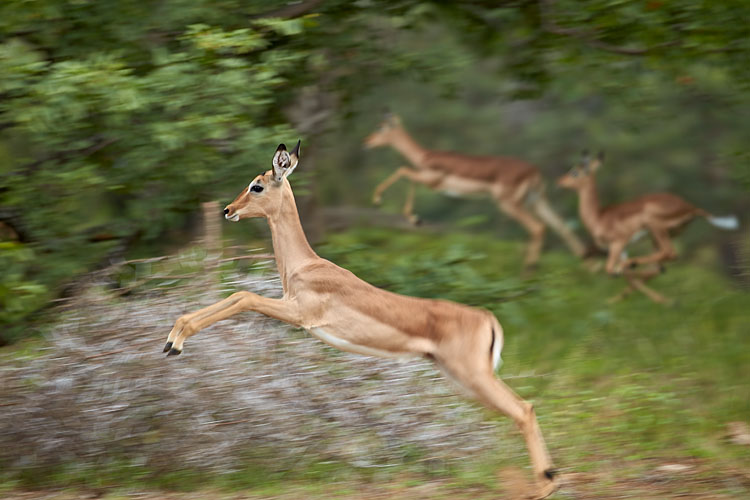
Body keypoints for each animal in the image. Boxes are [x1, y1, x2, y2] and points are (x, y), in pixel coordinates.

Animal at [163, 141, 559, 499]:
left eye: (257, 185)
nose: (228, 209)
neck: (305, 266)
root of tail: (488, 319)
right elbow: (237, 296)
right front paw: (170, 340)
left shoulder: (298, 314)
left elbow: (242, 296)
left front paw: (176, 342)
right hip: (461, 379)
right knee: (524, 408)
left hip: (473, 376)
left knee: (524, 409)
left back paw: (544, 486)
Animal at [364, 113, 586, 269]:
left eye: (380, 127)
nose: (367, 142)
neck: (425, 156)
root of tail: (535, 171)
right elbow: (406, 175)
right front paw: (415, 219)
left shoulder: (431, 181)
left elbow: (402, 171)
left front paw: (380, 201)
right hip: (537, 201)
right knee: (563, 228)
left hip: (509, 204)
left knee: (538, 227)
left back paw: (529, 270)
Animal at [558, 151, 739, 303]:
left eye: (574, 172)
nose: (559, 181)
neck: (598, 217)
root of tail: (691, 208)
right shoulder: (621, 248)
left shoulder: (618, 243)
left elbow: (610, 270)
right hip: (659, 236)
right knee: (661, 263)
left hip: (655, 228)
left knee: (667, 254)